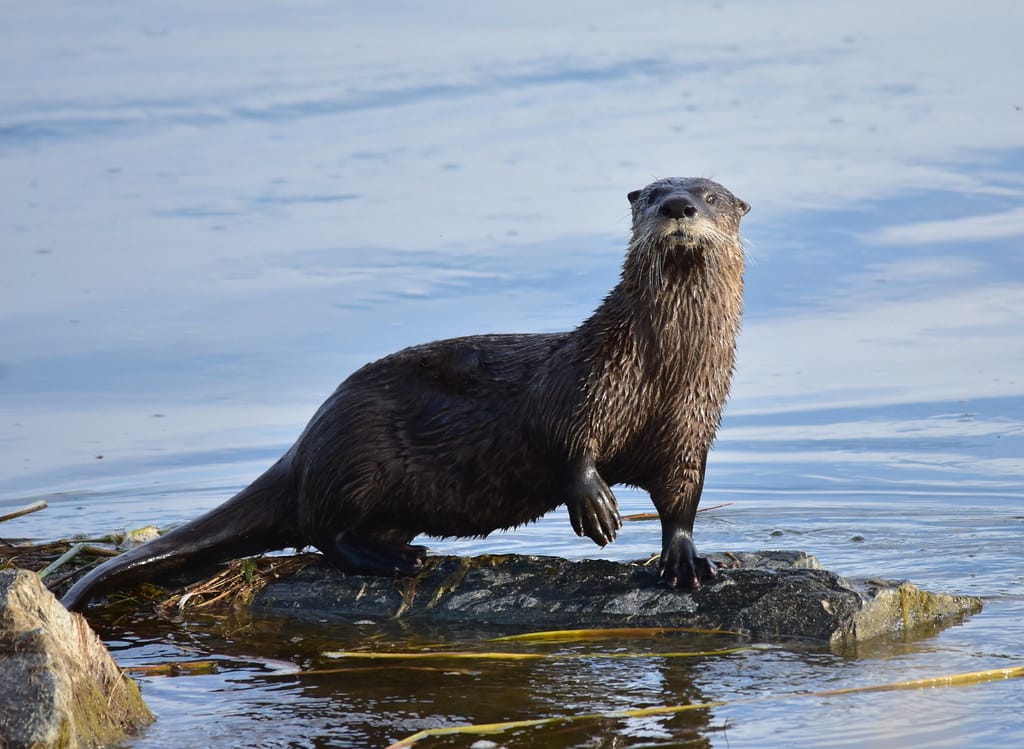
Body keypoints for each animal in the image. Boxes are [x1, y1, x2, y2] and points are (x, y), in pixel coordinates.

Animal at [62, 177, 750, 611]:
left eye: (711, 195)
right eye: (652, 194)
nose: (679, 205)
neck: (661, 371)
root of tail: (305, 443)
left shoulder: (691, 425)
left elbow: (682, 497)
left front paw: (686, 560)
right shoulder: (585, 381)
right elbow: (563, 439)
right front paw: (596, 505)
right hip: (357, 455)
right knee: (323, 531)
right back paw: (393, 560)